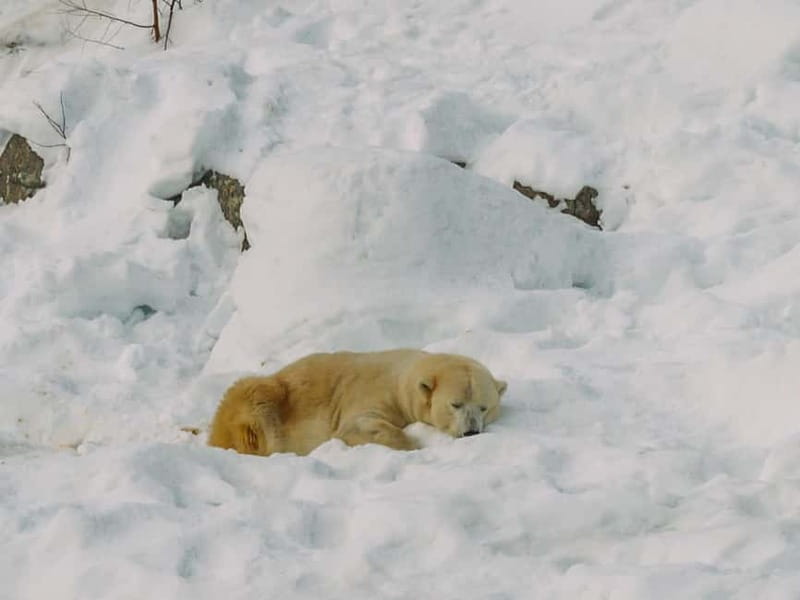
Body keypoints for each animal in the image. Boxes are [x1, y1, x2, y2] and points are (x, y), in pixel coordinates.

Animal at [208, 349, 507, 456]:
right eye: (455, 404)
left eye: (484, 407)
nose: (471, 432)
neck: (403, 374)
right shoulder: (374, 392)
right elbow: (358, 425)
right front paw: (413, 445)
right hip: (264, 396)